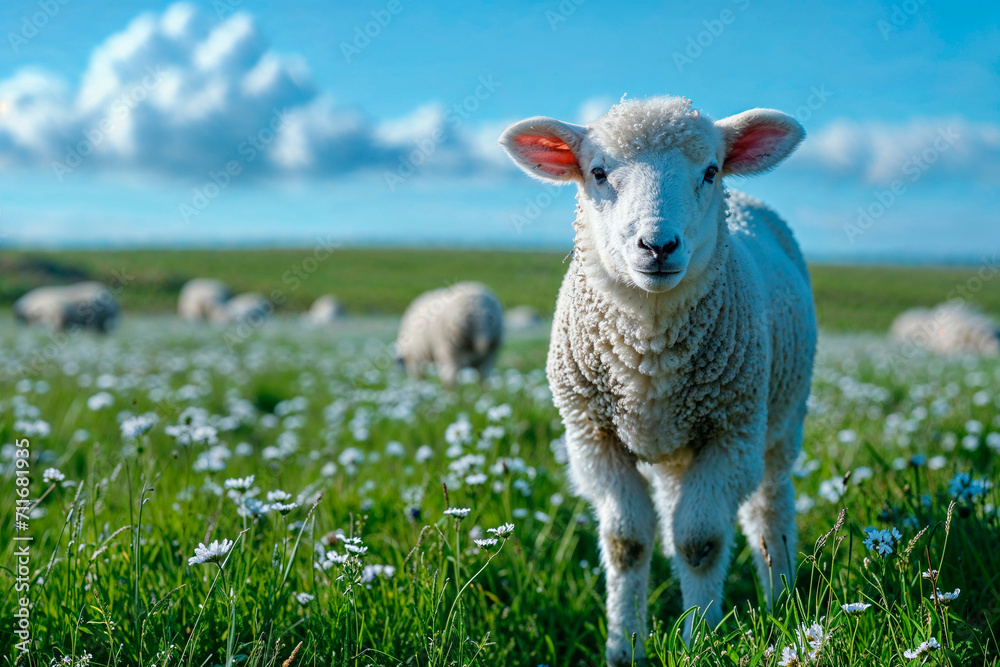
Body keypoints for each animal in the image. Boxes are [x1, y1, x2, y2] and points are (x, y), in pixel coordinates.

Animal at [499, 96, 816, 664]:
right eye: (598, 173)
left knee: (768, 509)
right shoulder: (593, 436)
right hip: (678, 446)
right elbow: (628, 543)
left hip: (779, 419)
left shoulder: (730, 432)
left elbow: (700, 542)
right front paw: (623, 645)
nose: (659, 245)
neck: (645, 355)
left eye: (710, 171)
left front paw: (702, 640)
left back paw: (781, 598)